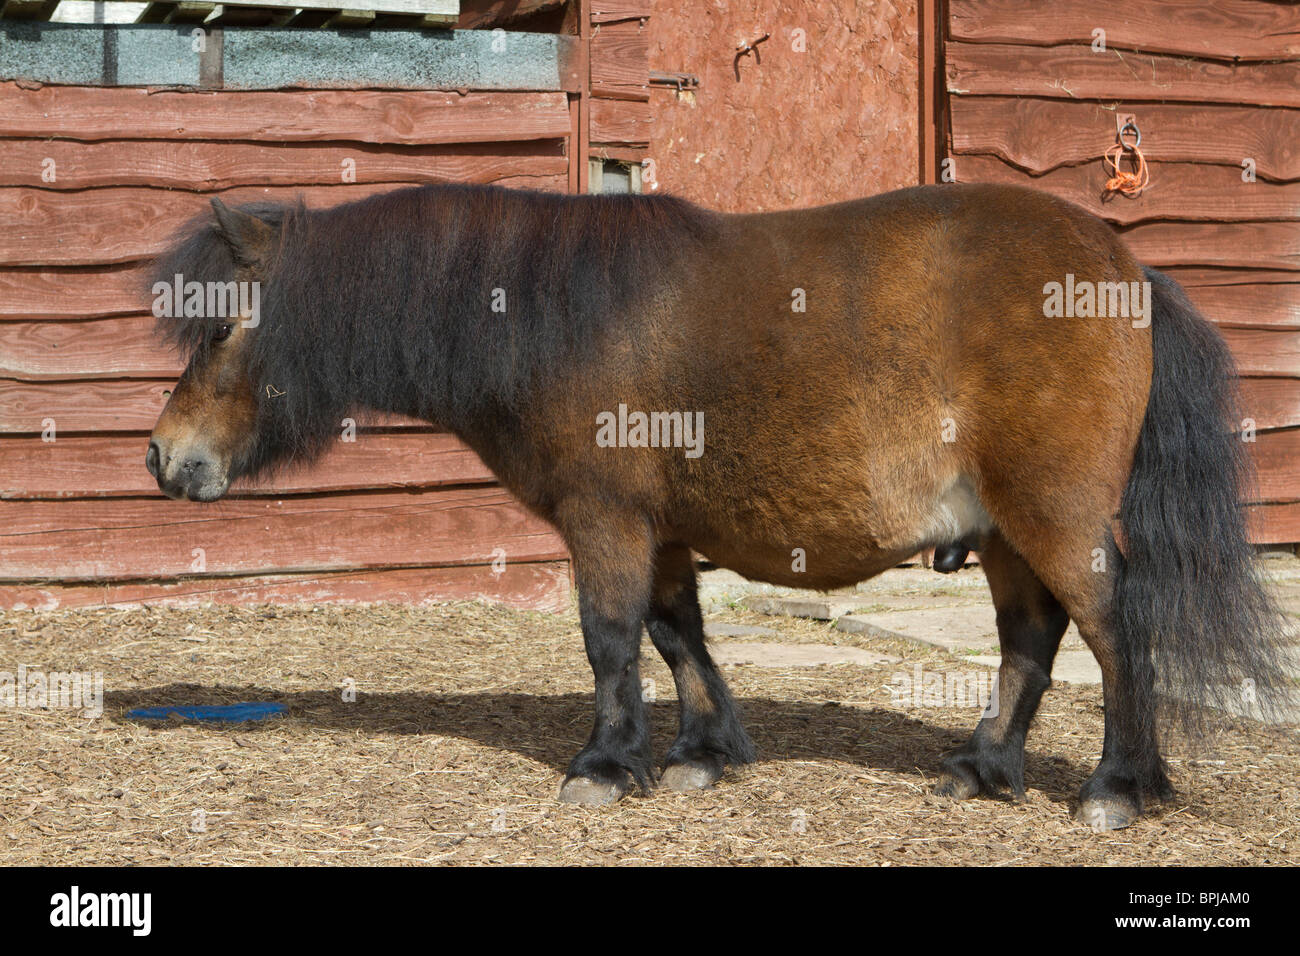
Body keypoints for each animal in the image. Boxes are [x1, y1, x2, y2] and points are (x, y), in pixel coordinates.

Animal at [147, 184, 1284, 832]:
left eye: (222, 329)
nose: (164, 456)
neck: (554, 314)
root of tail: (1126, 268)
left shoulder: (604, 517)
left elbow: (610, 637)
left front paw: (607, 764)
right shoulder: (656, 528)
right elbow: (675, 631)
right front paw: (699, 752)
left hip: (1052, 512)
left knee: (1112, 629)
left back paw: (1117, 786)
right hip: (1004, 526)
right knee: (1030, 636)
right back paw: (983, 765)